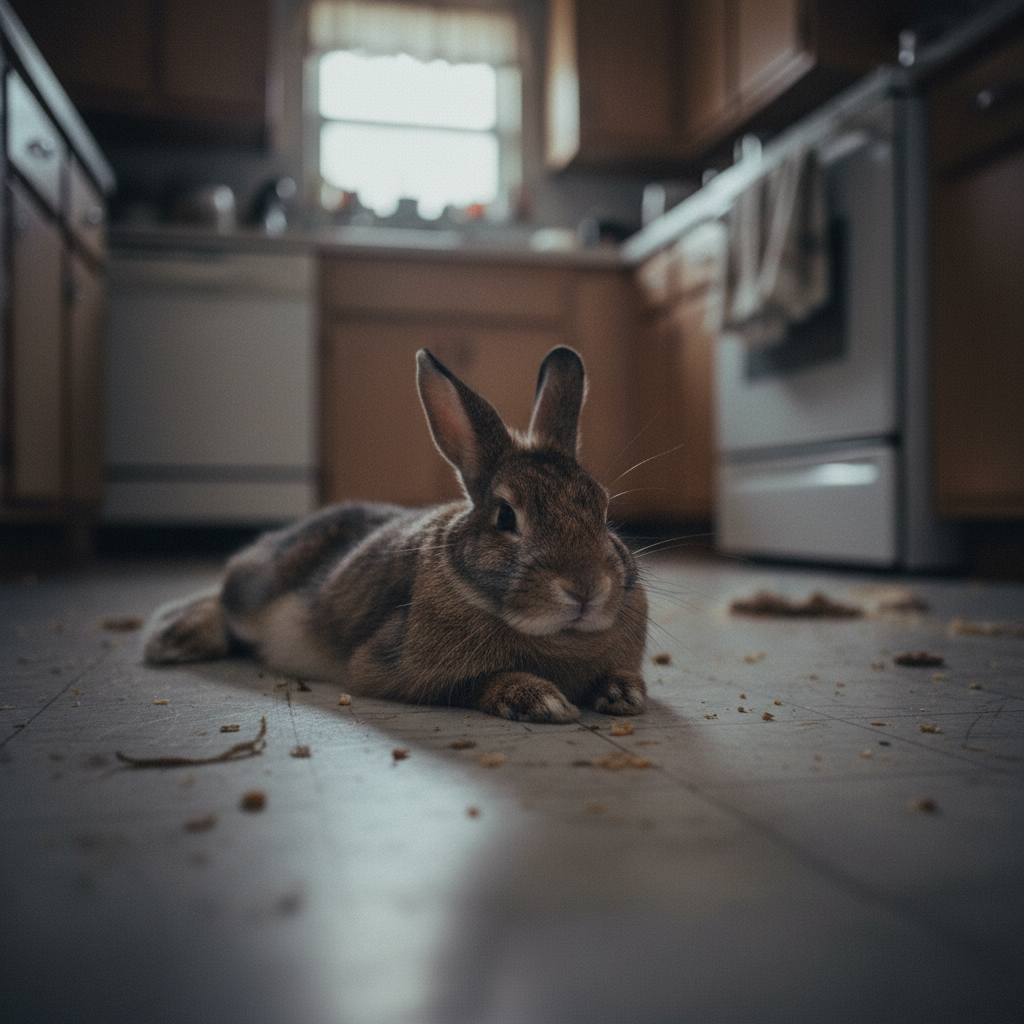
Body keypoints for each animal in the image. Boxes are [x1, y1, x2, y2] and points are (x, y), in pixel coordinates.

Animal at [142, 345, 648, 723]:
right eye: (506, 517)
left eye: (603, 509)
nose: (586, 588)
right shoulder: (403, 670)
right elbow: (474, 683)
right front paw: (540, 700)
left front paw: (625, 693)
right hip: (258, 588)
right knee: (224, 596)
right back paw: (173, 639)